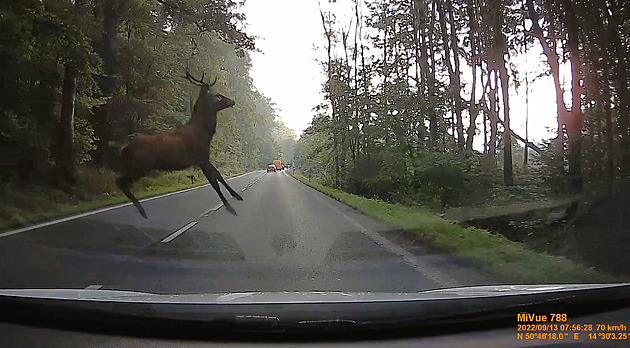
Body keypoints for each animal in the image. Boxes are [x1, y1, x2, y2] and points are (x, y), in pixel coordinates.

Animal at [116, 68, 244, 218]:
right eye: (217, 95)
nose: (232, 101)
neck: (203, 133)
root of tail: (124, 146)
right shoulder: (200, 158)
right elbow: (214, 182)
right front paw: (230, 207)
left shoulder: (204, 158)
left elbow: (219, 176)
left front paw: (237, 196)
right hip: (139, 165)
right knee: (119, 181)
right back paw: (142, 211)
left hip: (135, 166)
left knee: (121, 182)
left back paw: (141, 211)